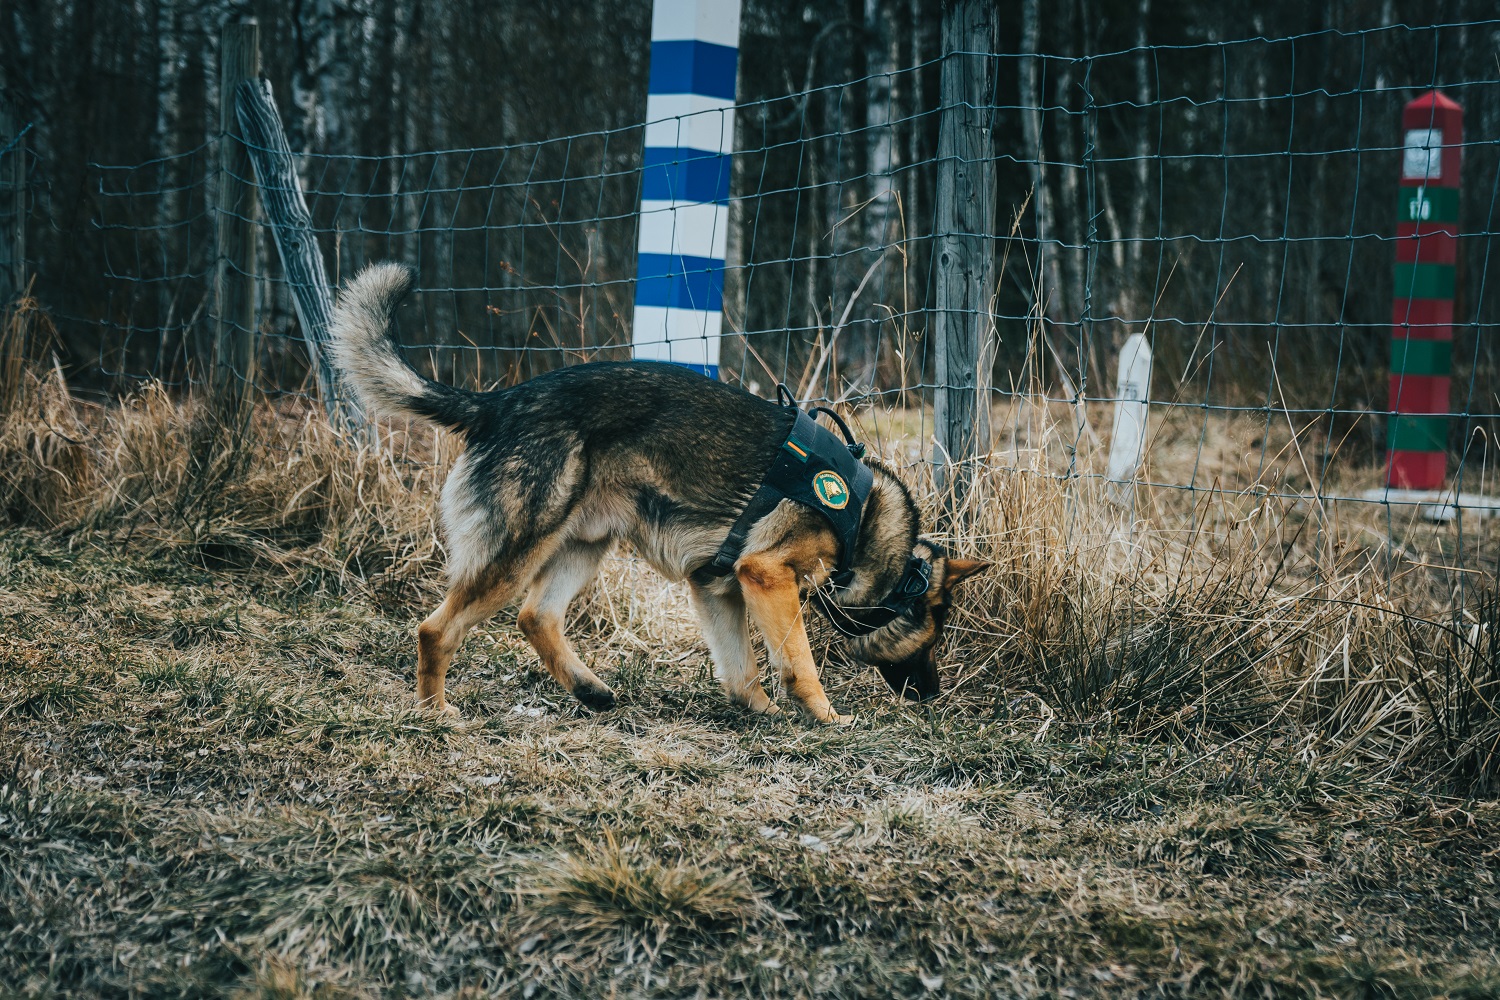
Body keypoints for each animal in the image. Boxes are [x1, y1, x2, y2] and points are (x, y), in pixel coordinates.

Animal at [328, 262, 984, 722]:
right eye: (932, 637)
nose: (931, 695)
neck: (866, 523)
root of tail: (498, 403)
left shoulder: (717, 586)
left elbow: (741, 669)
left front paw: (761, 712)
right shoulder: (766, 574)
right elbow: (797, 661)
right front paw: (825, 718)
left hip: (583, 545)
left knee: (537, 617)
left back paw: (588, 689)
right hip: (516, 553)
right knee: (436, 629)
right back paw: (436, 712)